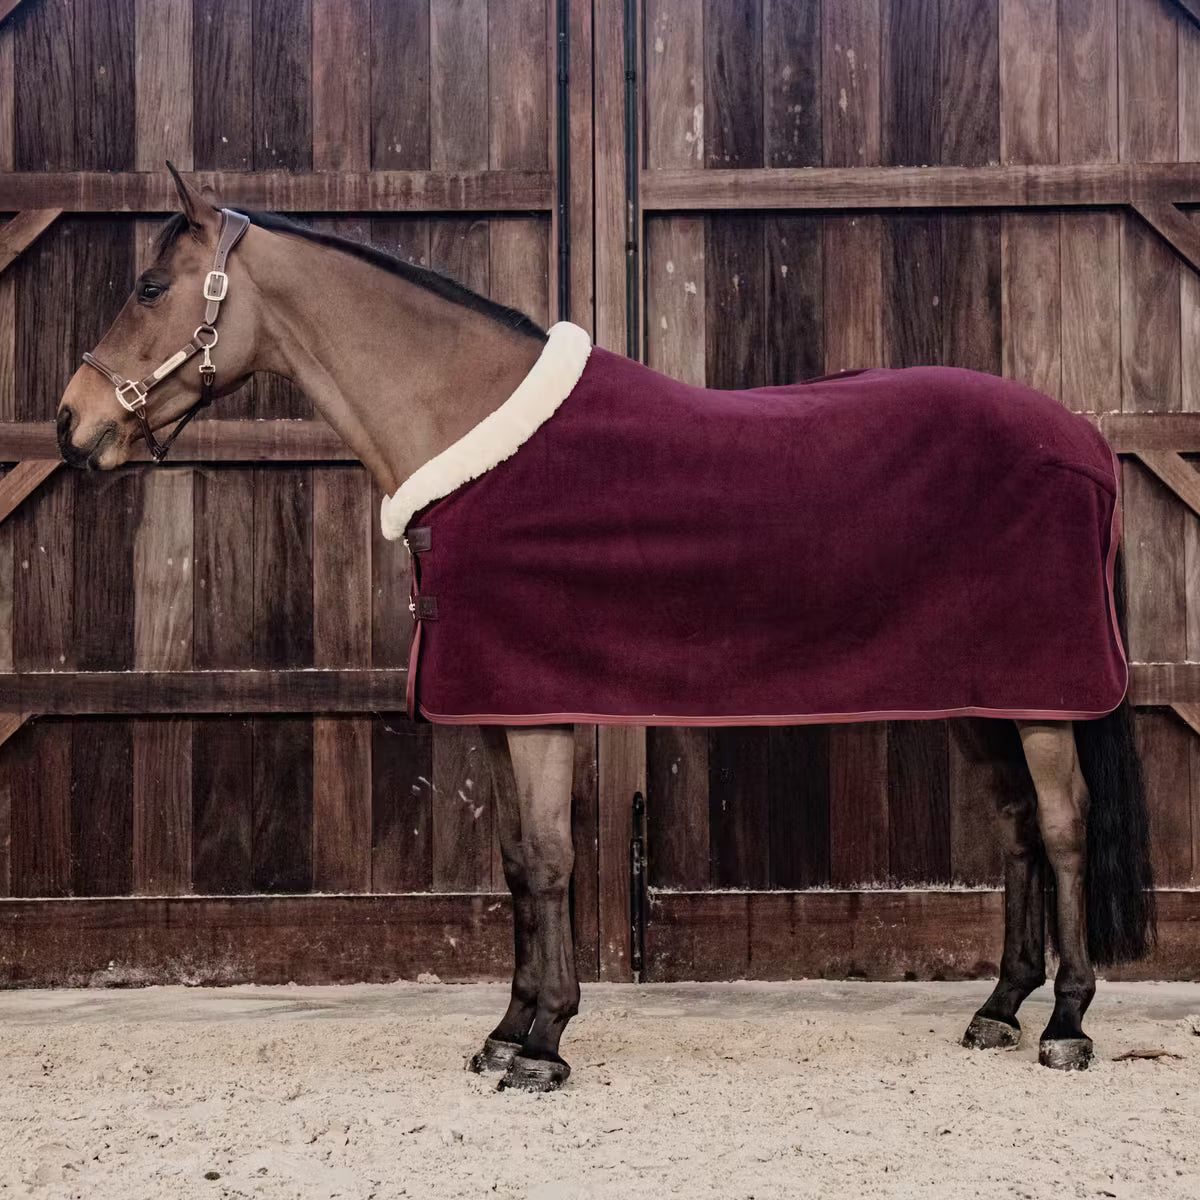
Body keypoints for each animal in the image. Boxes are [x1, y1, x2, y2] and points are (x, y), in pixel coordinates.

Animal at [56, 165, 1155, 1091]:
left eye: (150, 287)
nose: (71, 426)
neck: (476, 434)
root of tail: (1083, 440)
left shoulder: (539, 710)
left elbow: (549, 862)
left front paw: (543, 1044)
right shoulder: (498, 710)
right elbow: (515, 864)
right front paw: (505, 1032)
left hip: (1041, 694)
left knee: (1063, 826)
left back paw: (1067, 1025)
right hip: (982, 692)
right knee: (1015, 828)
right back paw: (999, 1008)